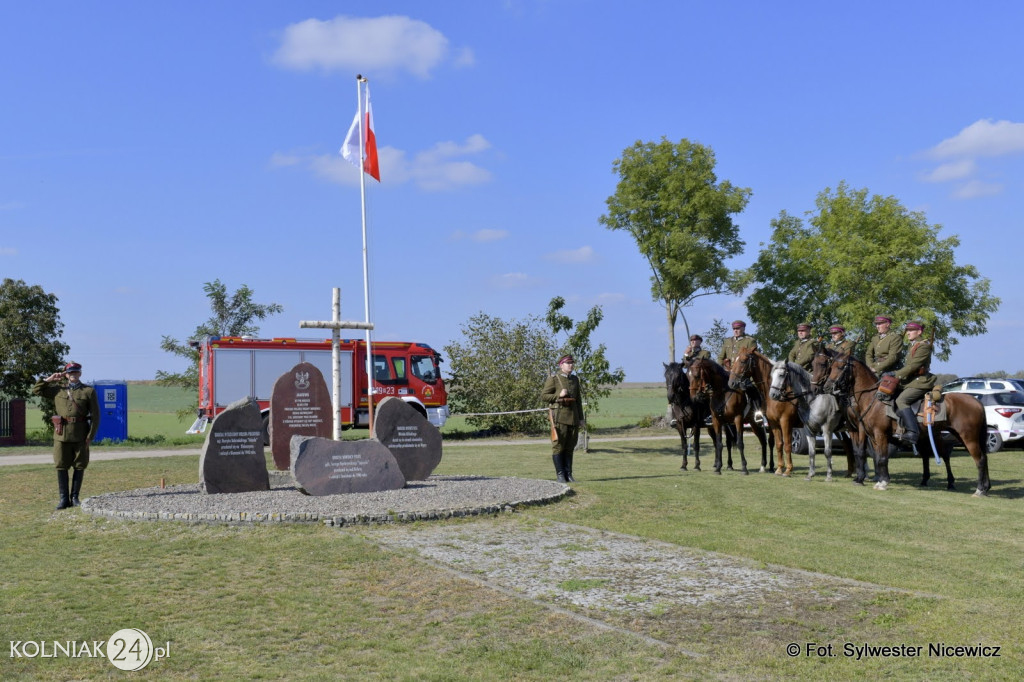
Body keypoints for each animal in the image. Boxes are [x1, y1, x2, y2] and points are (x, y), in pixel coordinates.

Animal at [819, 350, 987, 493]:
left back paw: (978, 489)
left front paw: (882, 482)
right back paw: (982, 487)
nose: (827, 387)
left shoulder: (879, 434)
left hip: (967, 438)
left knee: (977, 460)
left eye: (840, 367)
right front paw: (879, 480)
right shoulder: (872, 436)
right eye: (830, 366)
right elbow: (878, 458)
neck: (873, 399)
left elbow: (880, 458)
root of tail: (976, 401)